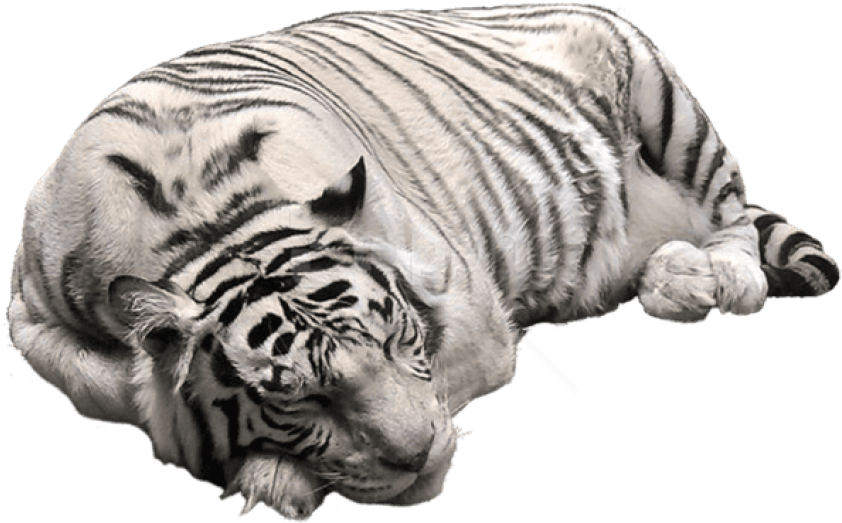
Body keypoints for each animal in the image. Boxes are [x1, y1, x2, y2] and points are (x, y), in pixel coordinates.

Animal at [7, 4, 838, 520]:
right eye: (298, 398)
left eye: (396, 338)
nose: (423, 452)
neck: (210, 223)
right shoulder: (29, 314)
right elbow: (102, 380)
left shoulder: (472, 309)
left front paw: (273, 478)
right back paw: (674, 279)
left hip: (664, 99)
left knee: (730, 208)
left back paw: (719, 280)